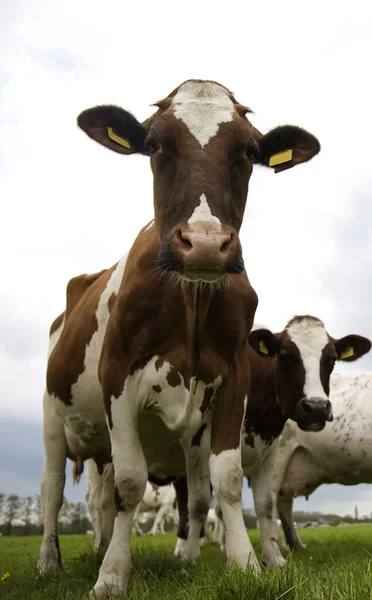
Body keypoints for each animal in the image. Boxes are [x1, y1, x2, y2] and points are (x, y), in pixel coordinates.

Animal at [38, 78, 322, 596]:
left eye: (249, 152)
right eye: (153, 145)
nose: (206, 244)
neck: (191, 302)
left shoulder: (232, 380)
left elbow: (222, 480)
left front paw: (244, 564)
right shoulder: (117, 379)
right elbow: (131, 483)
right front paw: (113, 575)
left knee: (107, 499)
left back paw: (106, 545)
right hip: (53, 415)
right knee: (52, 489)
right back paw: (51, 561)